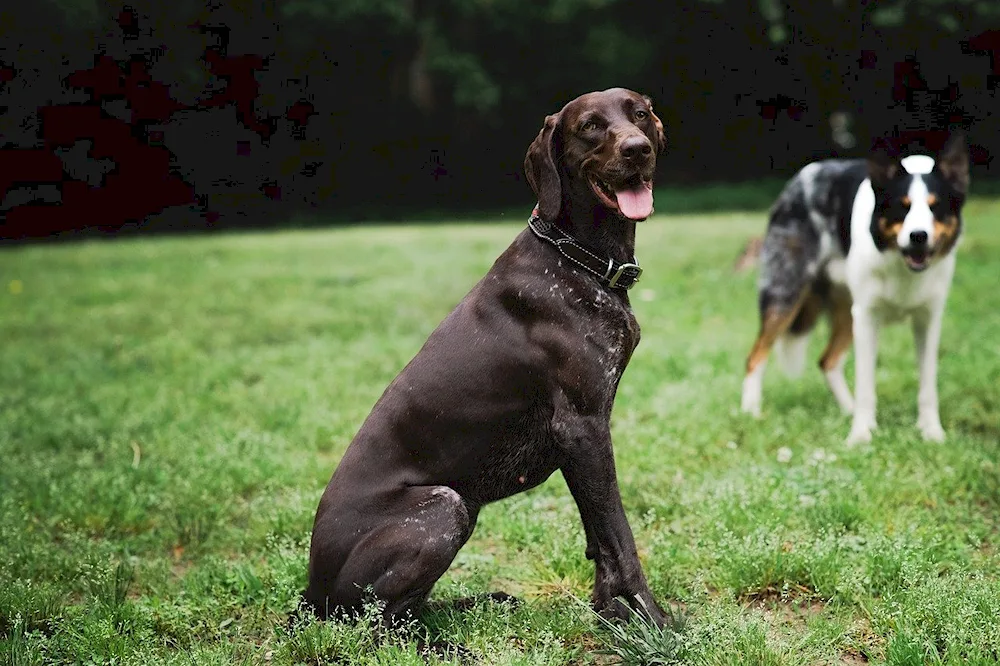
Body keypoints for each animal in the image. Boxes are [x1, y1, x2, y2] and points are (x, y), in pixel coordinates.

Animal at [300, 87, 668, 624]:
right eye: (590, 127)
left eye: (639, 114)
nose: (637, 149)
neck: (575, 256)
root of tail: (310, 595)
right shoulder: (583, 427)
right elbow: (620, 538)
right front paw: (655, 623)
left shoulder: (578, 442)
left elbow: (599, 541)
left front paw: (609, 614)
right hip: (445, 506)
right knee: (383, 622)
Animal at [740, 132, 964, 444]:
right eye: (902, 206)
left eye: (936, 207)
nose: (918, 236)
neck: (900, 263)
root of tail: (798, 180)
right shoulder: (868, 317)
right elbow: (866, 383)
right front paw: (861, 435)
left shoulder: (928, 319)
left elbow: (928, 385)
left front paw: (931, 432)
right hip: (786, 295)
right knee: (756, 356)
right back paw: (750, 412)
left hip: (846, 310)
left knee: (828, 361)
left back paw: (847, 408)